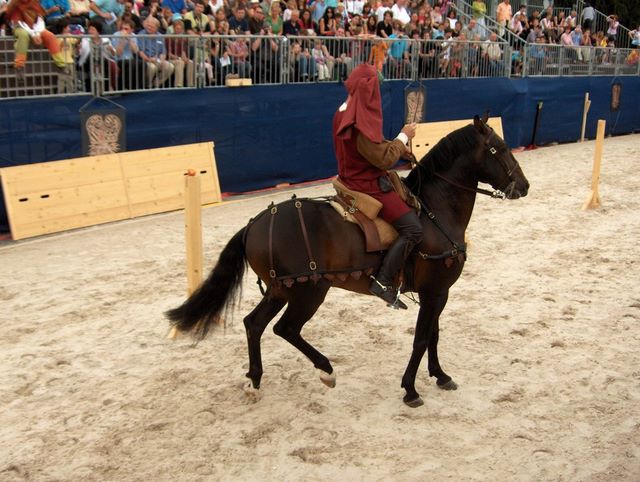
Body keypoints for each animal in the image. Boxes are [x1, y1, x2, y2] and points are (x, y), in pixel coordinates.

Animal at [166, 114, 530, 407]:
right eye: (499, 148)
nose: (523, 186)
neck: (434, 211)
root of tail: (253, 225)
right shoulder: (436, 291)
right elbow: (422, 338)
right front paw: (411, 389)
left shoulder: (436, 291)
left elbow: (433, 335)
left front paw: (440, 375)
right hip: (308, 292)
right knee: (286, 328)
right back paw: (325, 370)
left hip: (280, 291)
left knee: (254, 324)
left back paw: (255, 380)